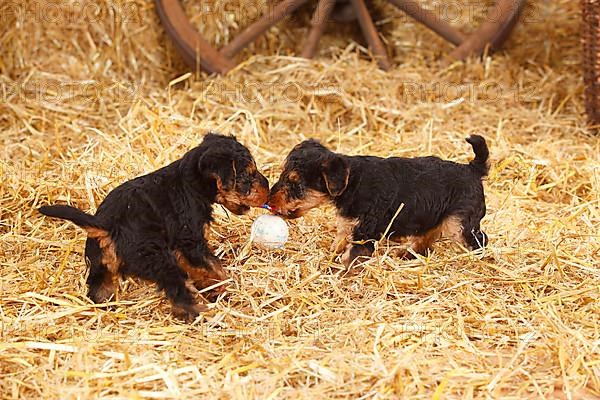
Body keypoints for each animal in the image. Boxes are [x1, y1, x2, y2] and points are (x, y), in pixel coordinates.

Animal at [38, 134, 268, 318]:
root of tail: (107, 225)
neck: (189, 183)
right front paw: (223, 286)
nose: (267, 189)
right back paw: (202, 314)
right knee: (179, 293)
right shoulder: (190, 242)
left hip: (100, 266)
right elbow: (214, 266)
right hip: (159, 260)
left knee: (99, 290)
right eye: (247, 176)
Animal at [270, 136, 490, 270]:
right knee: (426, 238)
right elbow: (336, 247)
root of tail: (472, 169)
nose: (270, 200)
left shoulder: (364, 233)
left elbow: (350, 257)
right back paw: (405, 252)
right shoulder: (348, 226)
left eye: (295, 183)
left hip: (459, 224)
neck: (353, 182)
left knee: (480, 240)